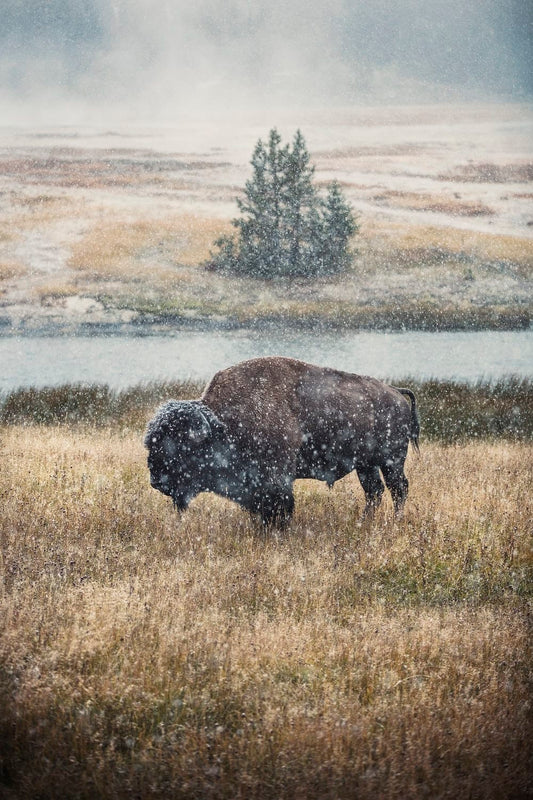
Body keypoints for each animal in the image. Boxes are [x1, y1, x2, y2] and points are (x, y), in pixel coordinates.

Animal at [143, 356, 418, 524]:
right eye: (151, 443)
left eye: (180, 445)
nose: (156, 481)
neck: (223, 423)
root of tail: (396, 393)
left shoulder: (277, 476)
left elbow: (280, 506)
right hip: (365, 465)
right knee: (375, 491)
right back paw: (364, 522)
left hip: (392, 461)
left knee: (398, 488)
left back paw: (395, 520)